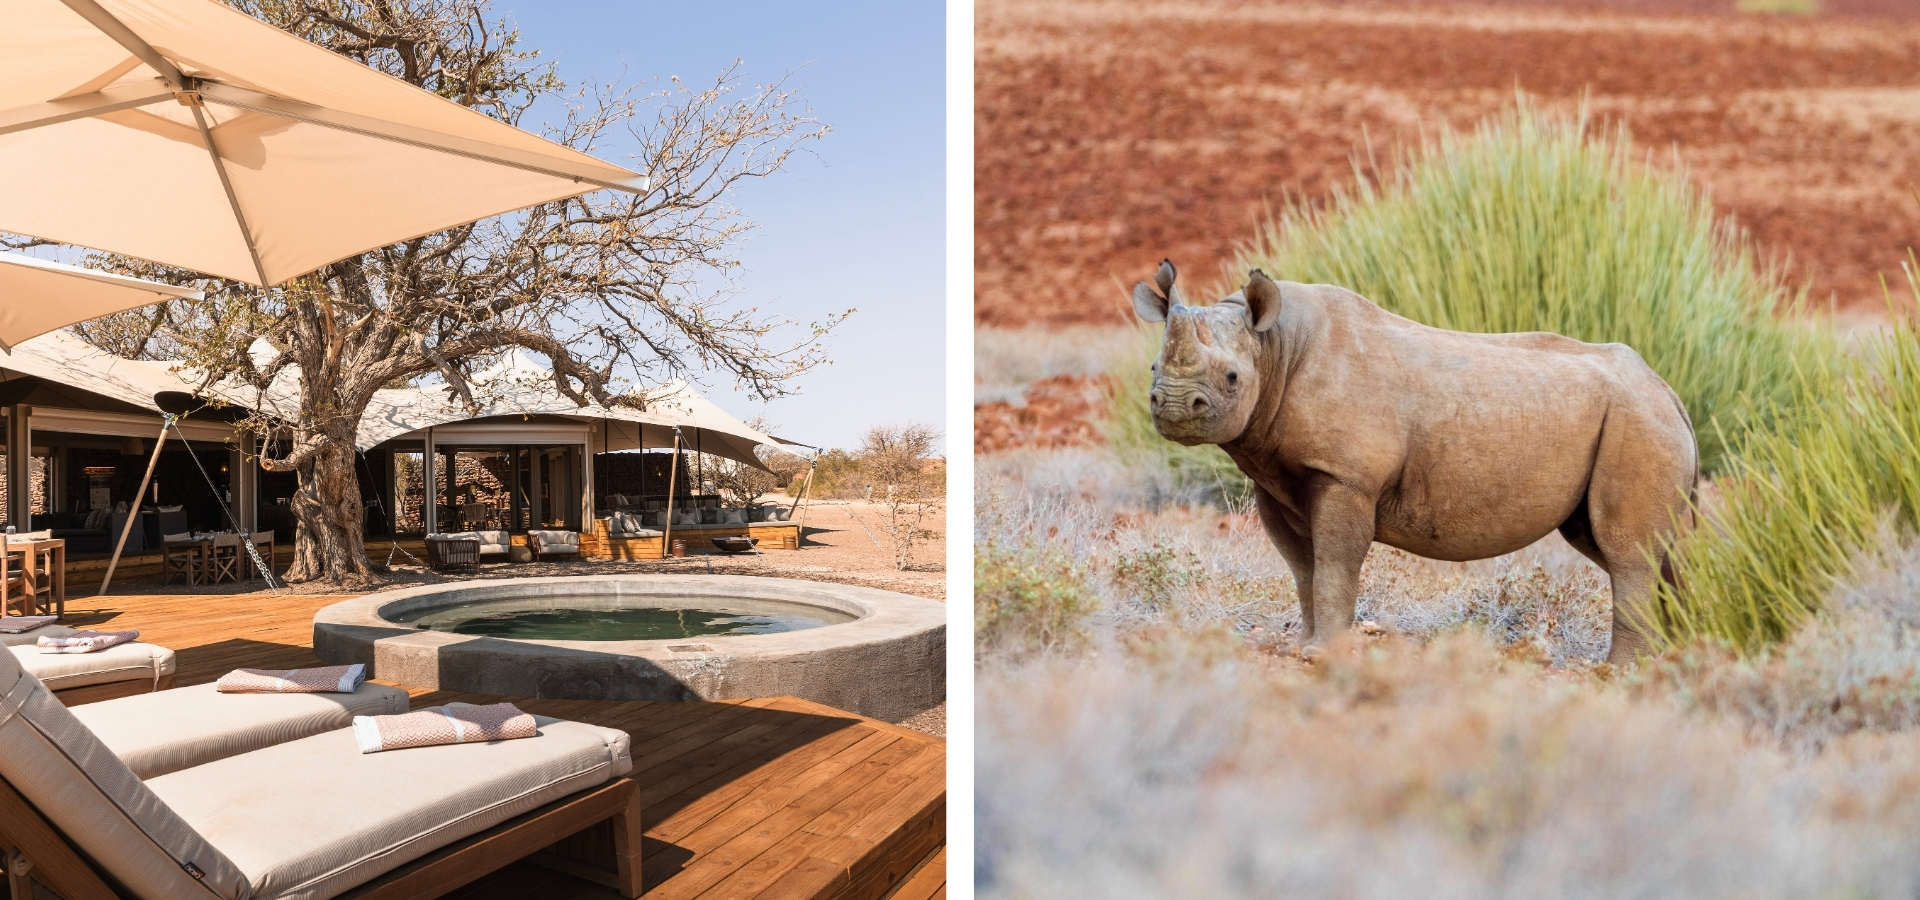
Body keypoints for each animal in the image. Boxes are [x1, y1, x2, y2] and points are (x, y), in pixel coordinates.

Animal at [1132, 261, 1697, 664]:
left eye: (1232, 378)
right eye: (1154, 368)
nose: (1176, 408)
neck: (1274, 347)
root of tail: (1667, 390)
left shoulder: (1345, 476)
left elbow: (1334, 562)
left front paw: (1322, 654)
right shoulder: (1277, 479)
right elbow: (1302, 567)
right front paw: (1303, 647)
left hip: (1635, 421)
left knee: (1626, 551)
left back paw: (1620, 669)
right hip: (1635, 419)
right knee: (1627, 544)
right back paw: (1676, 654)